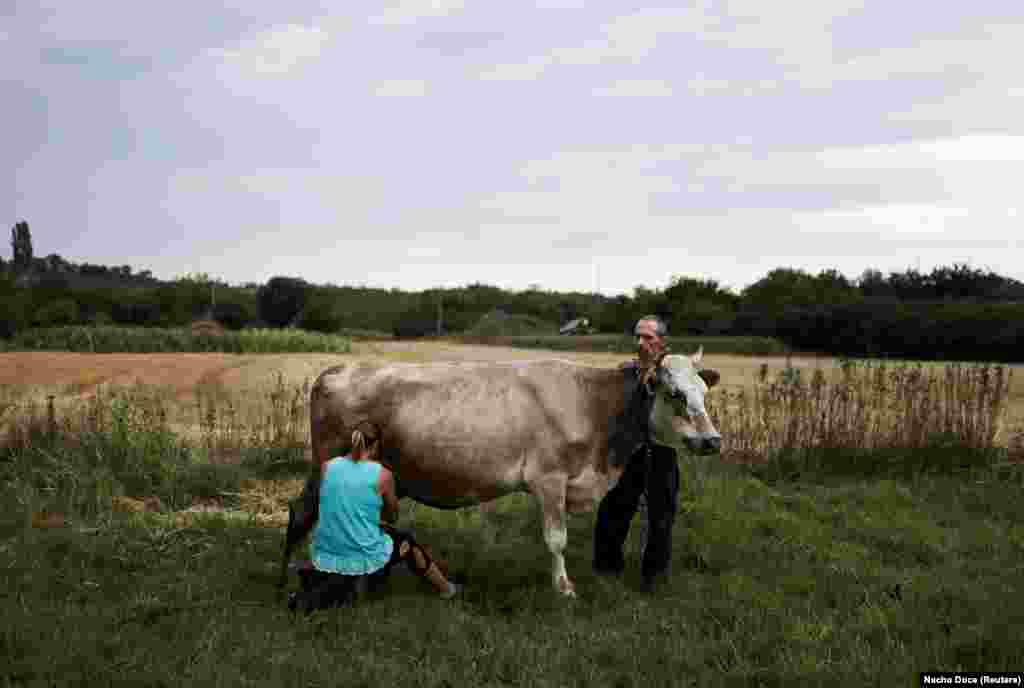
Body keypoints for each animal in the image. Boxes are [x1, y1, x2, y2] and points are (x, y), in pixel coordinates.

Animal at [280, 350, 720, 597]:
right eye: (674, 394)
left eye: (703, 391)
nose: (713, 440)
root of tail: (338, 368)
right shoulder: (549, 477)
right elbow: (557, 539)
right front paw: (564, 589)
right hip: (324, 461)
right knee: (301, 513)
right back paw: (288, 575)